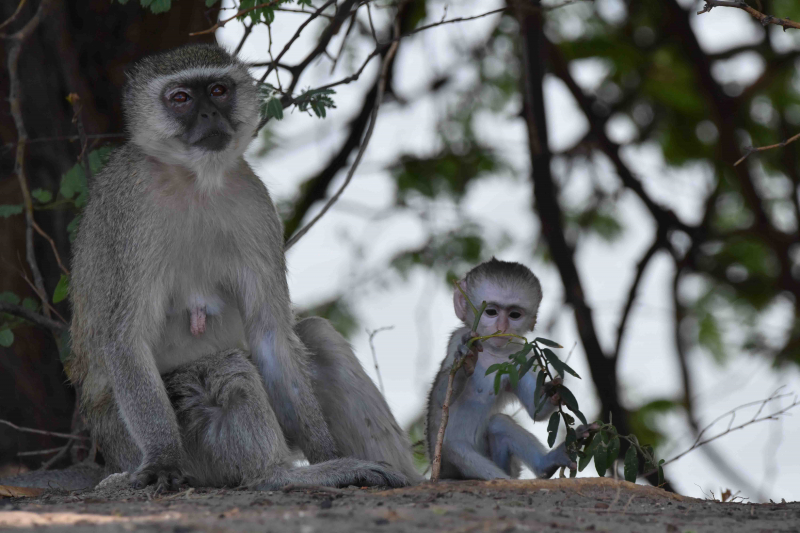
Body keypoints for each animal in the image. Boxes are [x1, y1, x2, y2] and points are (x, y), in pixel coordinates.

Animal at [64, 45, 412, 490]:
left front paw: (329, 454)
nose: (210, 115)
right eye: (181, 98)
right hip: (152, 445)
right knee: (221, 369)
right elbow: (126, 337)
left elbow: (270, 333)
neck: (195, 180)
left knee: (315, 337)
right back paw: (276, 476)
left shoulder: (255, 203)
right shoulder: (131, 211)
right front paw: (163, 459)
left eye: (218, 90)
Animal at [424, 260, 592, 480]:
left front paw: (554, 393)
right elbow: (442, 395)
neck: (492, 352)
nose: (502, 328)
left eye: (514, 315)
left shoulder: (520, 357)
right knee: (457, 450)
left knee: (498, 424)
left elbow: (536, 411)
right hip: (449, 467)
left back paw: (547, 463)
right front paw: (465, 362)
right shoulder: (459, 338)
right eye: (491, 312)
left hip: (507, 464)